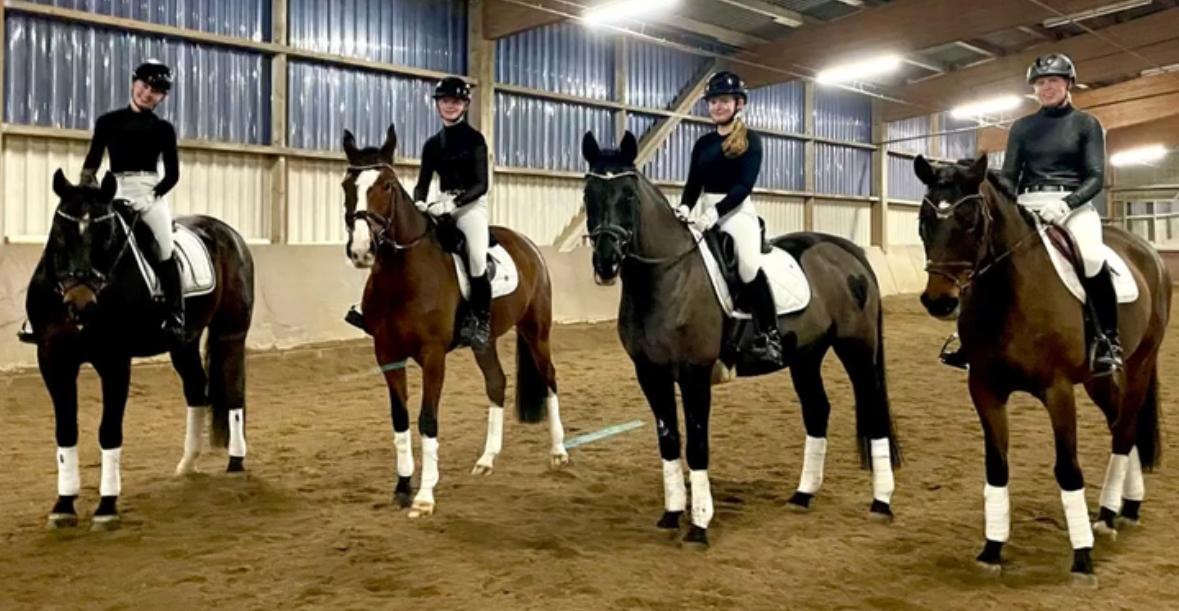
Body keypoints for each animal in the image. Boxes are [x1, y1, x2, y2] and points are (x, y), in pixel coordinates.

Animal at [25, 169, 255, 530]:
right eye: (60, 232)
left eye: (107, 235)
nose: (81, 305)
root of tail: (228, 233)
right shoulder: (53, 360)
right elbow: (65, 430)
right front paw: (63, 505)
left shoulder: (114, 360)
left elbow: (109, 431)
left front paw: (106, 507)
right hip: (185, 343)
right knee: (196, 391)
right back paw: (187, 466)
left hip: (231, 333)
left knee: (233, 392)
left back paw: (235, 463)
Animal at [340, 125, 569, 519]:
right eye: (346, 184)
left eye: (386, 185)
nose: (361, 250)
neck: (404, 275)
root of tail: (528, 245)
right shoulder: (387, 355)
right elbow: (400, 419)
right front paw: (402, 487)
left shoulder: (433, 357)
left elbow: (427, 420)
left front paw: (424, 497)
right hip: (484, 342)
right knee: (497, 383)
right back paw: (487, 460)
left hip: (536, 330)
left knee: (549, 378)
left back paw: (559, 452)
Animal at [580, 131, 900, 547]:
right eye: (588, 193)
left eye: (629, 194)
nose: (606, 263)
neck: (667, 277)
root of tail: (849, 252)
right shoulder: (650, 374)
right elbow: (669, 441)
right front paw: (671, 514)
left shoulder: (695, 374)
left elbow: (697, 445)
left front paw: (699, 525)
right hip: (806, 356)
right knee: (817, 410)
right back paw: (802, 495)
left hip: (857, 349)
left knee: (873, 409)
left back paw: (881, 502)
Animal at [913, 154, 1170, 578]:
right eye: (924, 219)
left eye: (971, 219)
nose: (940, 302)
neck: (1008, 294)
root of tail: (1148, 253)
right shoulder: (985, 389)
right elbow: (996, 467)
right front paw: (992, 550)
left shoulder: (1058, 390)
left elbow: (1067, 469)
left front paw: (1082, 558)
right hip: (1097, 380)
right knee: (1120, 422)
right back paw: (1124, 507)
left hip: (1139, 364)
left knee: (1123, 430)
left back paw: (1109, 515)